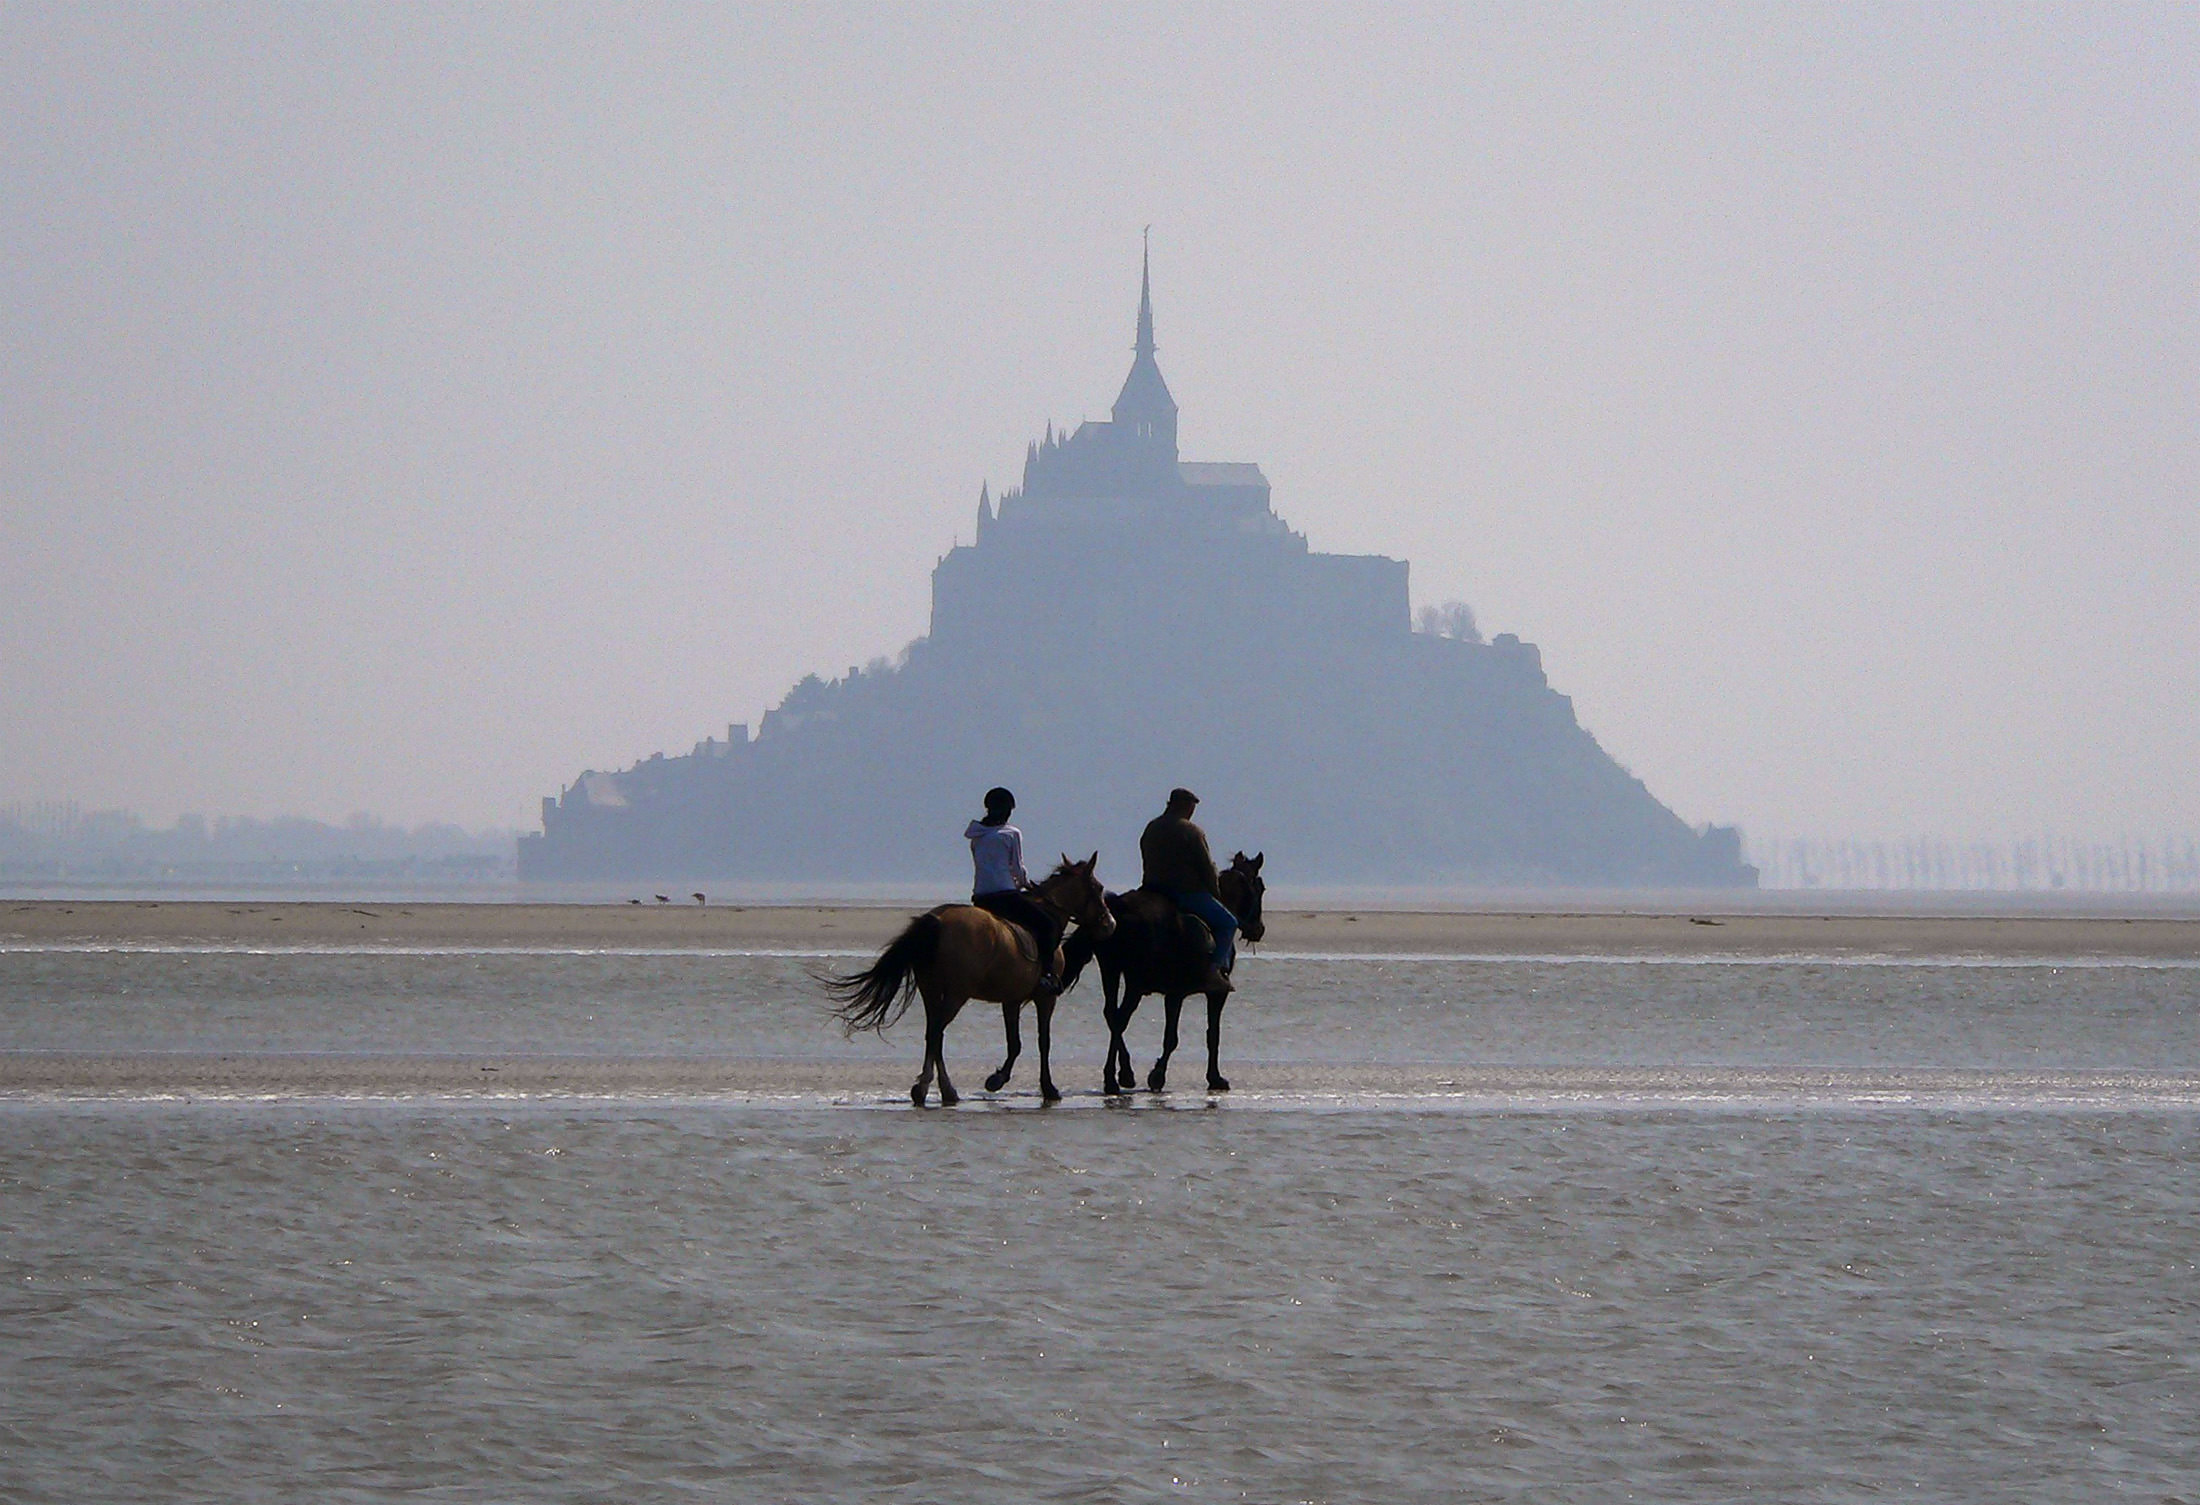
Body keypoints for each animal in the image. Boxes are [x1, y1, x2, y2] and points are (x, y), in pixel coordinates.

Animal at [822, 858, 1108, 1104]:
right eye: (1099, 888)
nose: (1110, 924)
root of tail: (938, 919)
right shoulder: (1045, 998)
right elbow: (1043, 1042)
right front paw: (1046, 1088)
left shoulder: (1011, 999)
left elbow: (1014, 1043)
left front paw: (997, 1079)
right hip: (957, 994)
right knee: (936, 1032)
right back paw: (932, 1088)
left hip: (930, 989)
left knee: (933, 1033)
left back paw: (939, 1089)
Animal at [1056, 853, 1267, 1100]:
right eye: (1260, 887)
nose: (1259, 929)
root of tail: (1119, 908)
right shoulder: (1203, 993)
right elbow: (1202, 1035)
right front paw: (1171, 1076)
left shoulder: (1173, 993)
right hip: (1134, 982)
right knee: (1120, 1018)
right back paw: (1113, 1079)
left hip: (1111, 969)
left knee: (1112, 1015)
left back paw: (1123, 1074)